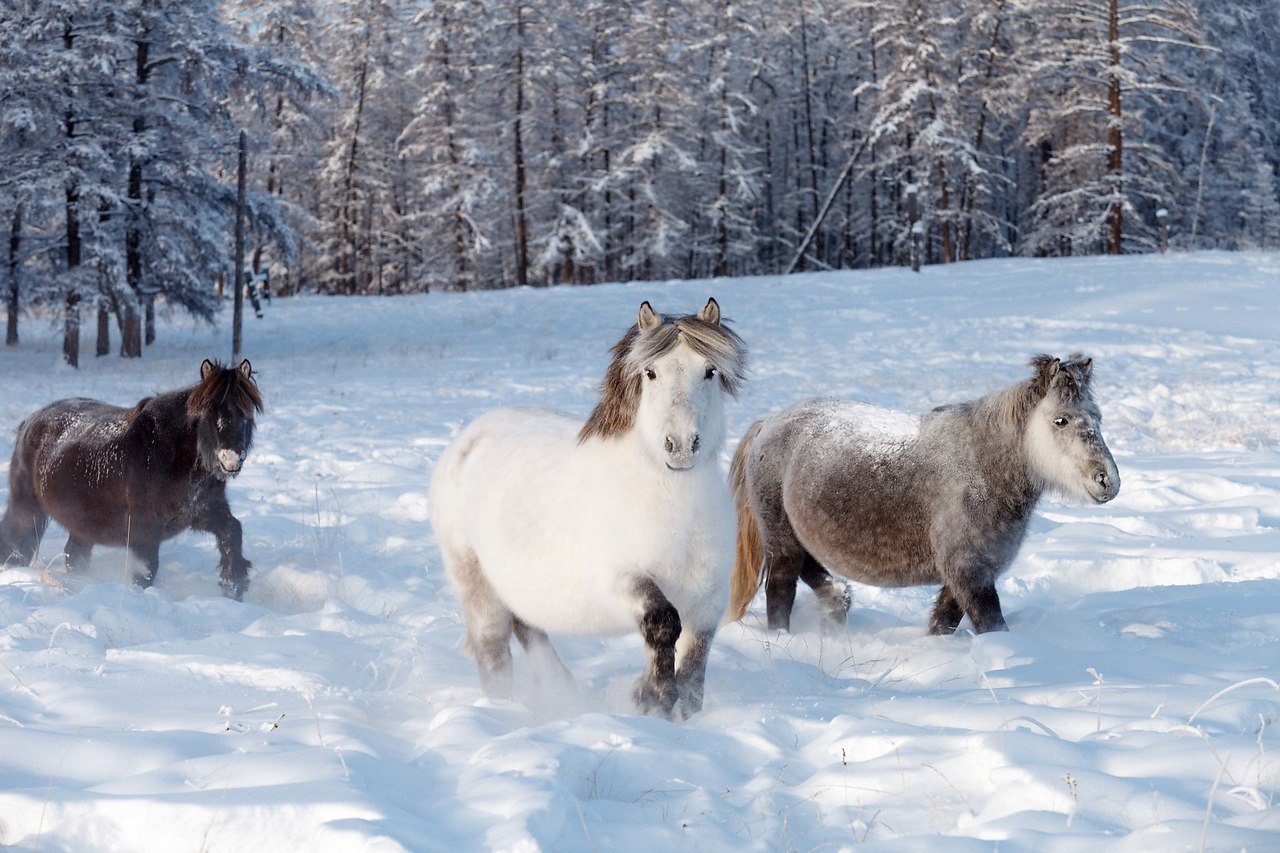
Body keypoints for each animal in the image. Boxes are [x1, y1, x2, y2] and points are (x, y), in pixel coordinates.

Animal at [0, 358, 262, 596]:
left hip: (82, 523)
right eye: (209, 413)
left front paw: (234, 586)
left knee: (73, 554)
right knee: (13, 539)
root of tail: (31, 421)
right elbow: (146, 569)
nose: (230, 460)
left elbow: (232, 532)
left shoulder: (206, 510)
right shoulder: (144, 528)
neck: (170, 454)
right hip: (27, 506)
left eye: (246, 414)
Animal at [430, 298, 747, 717]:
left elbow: (694, 665)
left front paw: (674, 707)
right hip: (477, 589)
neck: (673, 508)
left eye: (709, 371)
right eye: (651, 373)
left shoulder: (709, 599)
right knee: (495, 656)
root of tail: (465, 442)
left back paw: (561, 693)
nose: (680, 445)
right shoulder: (622, 580)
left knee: (529, 630)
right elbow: (662, 623)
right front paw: (651, 697)